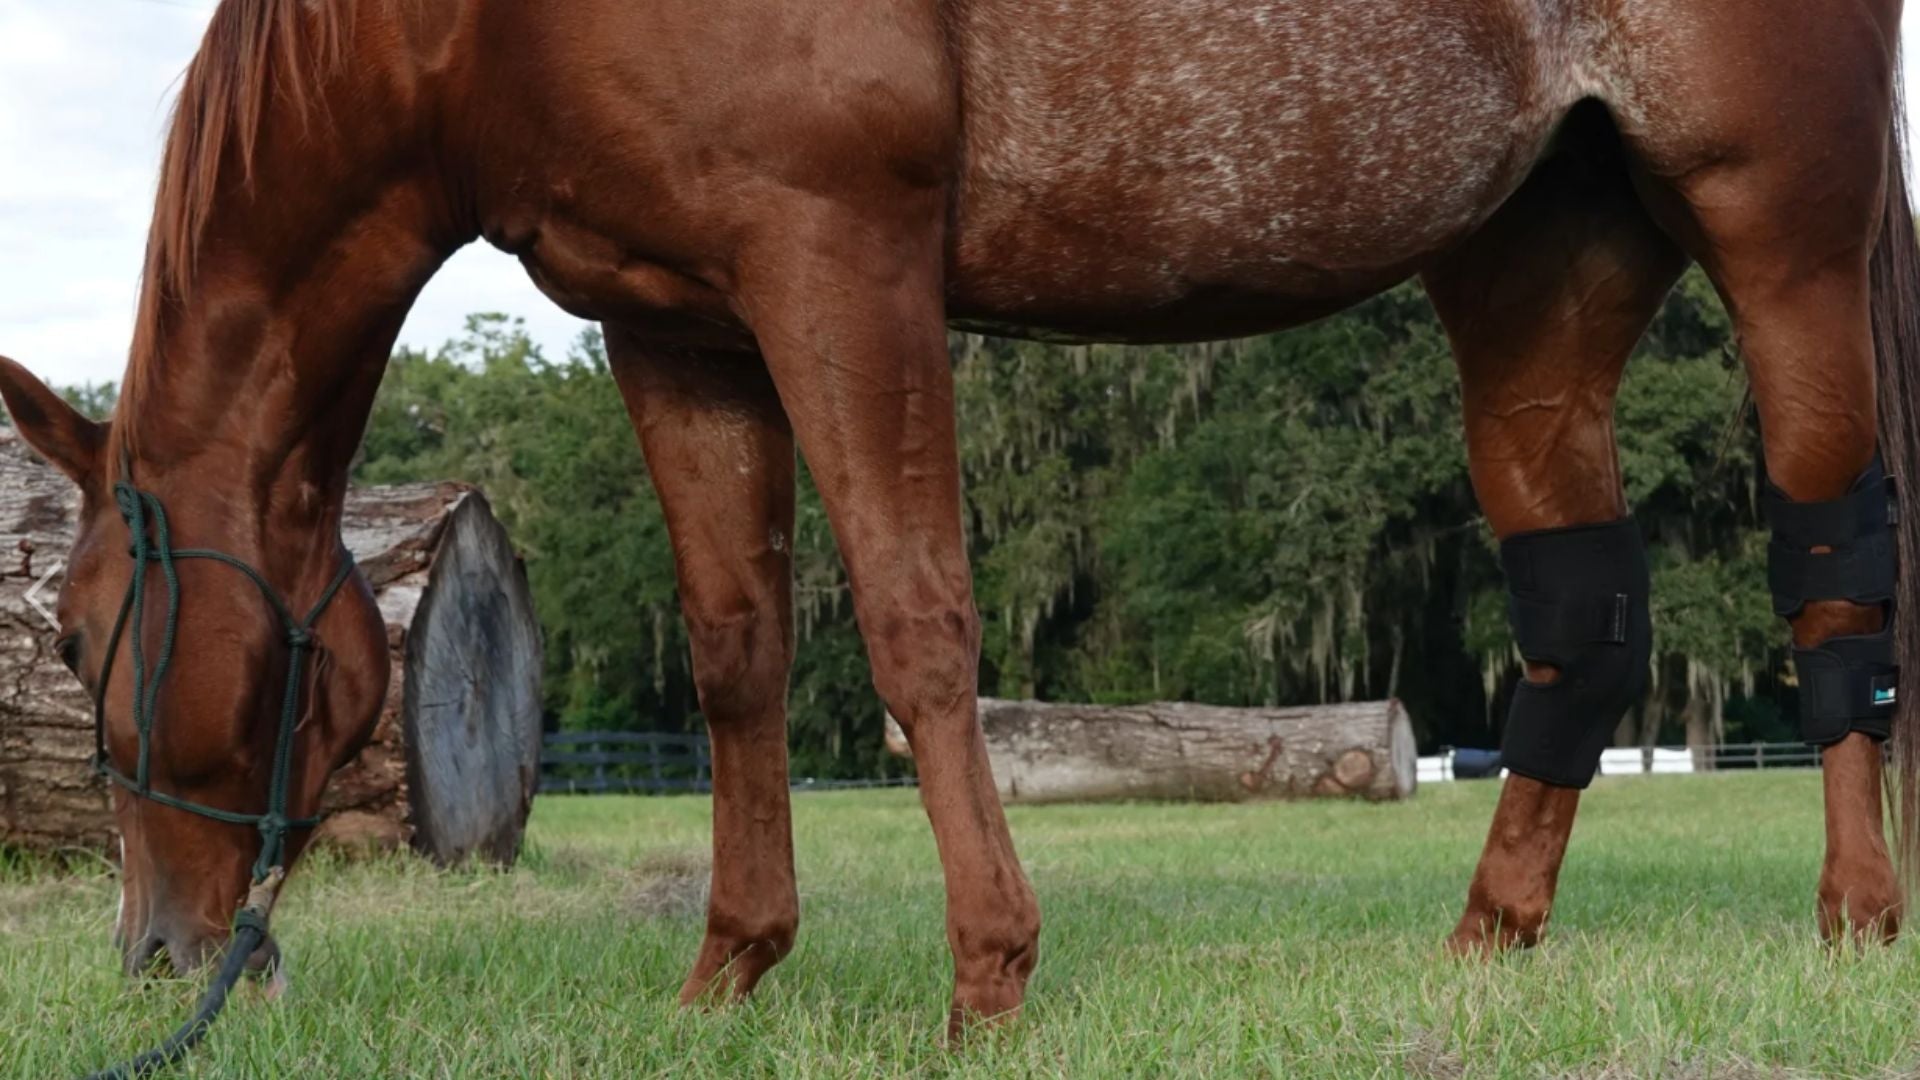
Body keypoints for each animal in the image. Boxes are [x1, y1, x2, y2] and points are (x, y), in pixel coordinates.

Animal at [3, 0, 1915, 1040]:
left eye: (81, 634)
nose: (161, 954)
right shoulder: (678, 330)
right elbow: (737, 653)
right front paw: (729, 971)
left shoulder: (838, 265)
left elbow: (919, 622)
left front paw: (987, 981)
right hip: (1536, 273)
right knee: (1580, 619)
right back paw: (1485, 946)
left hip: (1783, 239)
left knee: (1833, 575)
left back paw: (1851, 919)